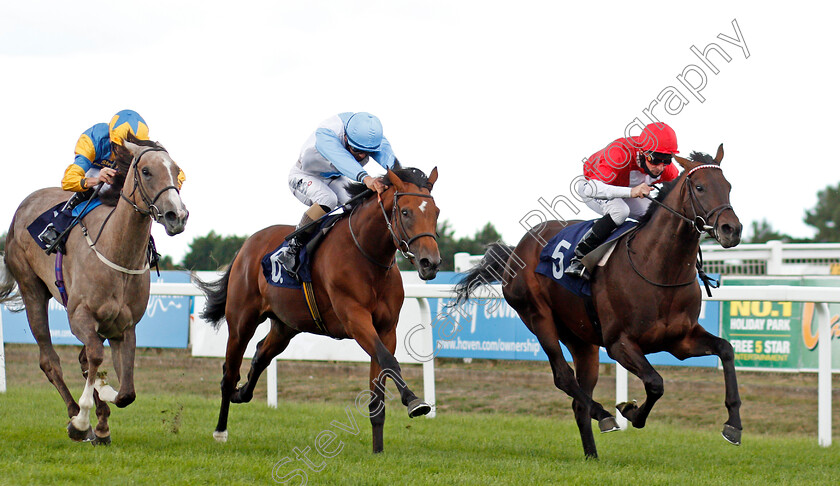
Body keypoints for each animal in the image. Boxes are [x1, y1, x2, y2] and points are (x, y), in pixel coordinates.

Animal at [0, 136, 187, 444]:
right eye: (146, 171)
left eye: (176, 170)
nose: (177, 215)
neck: (117, 251)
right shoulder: (80, 315)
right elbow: (96, 357)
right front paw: (82, 417)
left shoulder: (124, 327)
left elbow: (126, 391)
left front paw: (103, 400)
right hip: (32, 289)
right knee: (50, 360)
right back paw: (77, 416)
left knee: (84, 358)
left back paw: (99, 422)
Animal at [198, 166, 442, 452]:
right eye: (405, 212)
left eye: (436, 212)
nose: (430, 263)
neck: (368, 257)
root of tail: (246, 246)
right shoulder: (354, 318)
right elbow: (389, 361)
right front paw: (414, 401)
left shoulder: (386, 329)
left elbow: (380, 384)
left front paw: (378, 451)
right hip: (241, 321)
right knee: (229, 372)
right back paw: (220, 430)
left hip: (285, 326)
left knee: (260, 355)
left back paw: (242, 393)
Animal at [452, 146, 740, 458]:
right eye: (699, 187)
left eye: (728, 186)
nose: (732, 229)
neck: (656, 267)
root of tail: (516, 249)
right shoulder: (619, 343)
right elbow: (655, 383)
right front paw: (630, 411)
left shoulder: (680, 340)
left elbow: (726, 349)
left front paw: (733, 425)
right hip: (538, 317)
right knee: (564, 377)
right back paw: (604, 415)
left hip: (581, 339)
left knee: (578, 400)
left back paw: (592, 454)